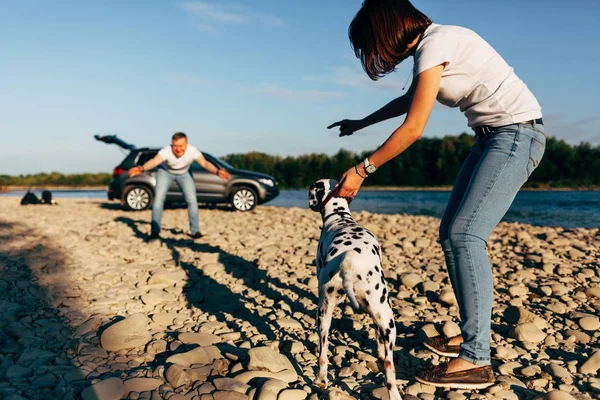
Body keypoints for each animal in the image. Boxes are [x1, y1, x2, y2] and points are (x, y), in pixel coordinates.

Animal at [310, 179, 404, 400]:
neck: (340, 218)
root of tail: (348, 260)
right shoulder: (377, 315)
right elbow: (377, 335)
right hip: (387, 319)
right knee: (389, 365)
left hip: (324, 314)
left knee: (323, 355)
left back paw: (321, 380)